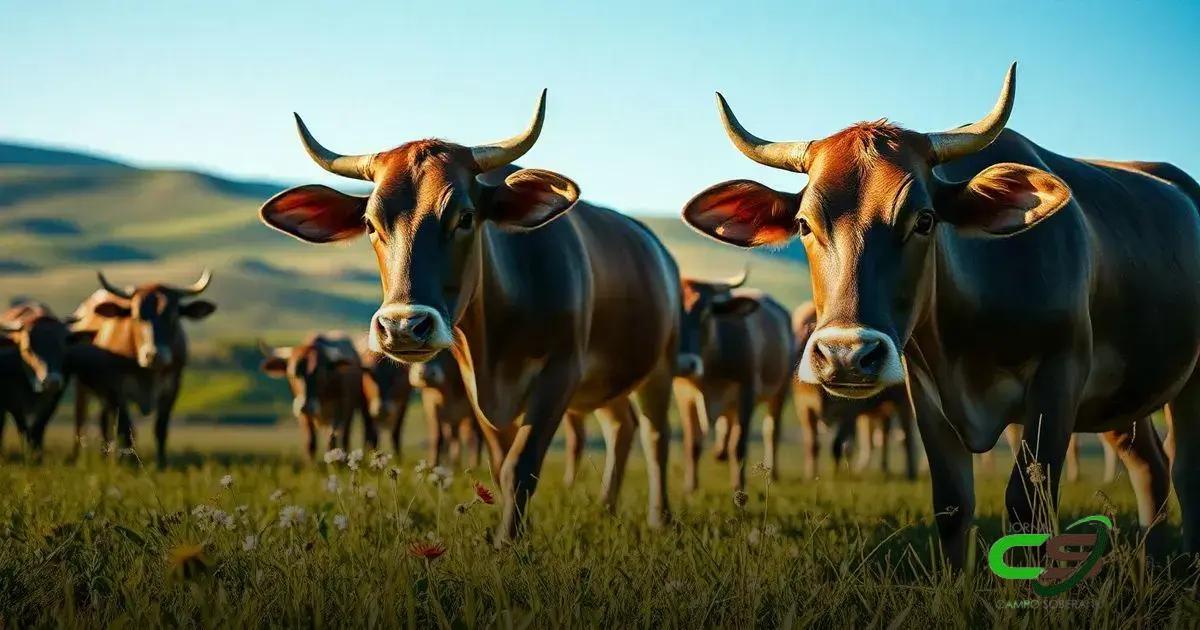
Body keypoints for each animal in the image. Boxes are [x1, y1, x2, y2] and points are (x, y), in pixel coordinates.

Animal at [71, 272, 216, 466]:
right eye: (137, 316)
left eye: (173, 317)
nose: (154, 355)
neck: (149, 375)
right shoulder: (118, 389)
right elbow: (126, 430)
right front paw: (131, 465)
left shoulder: (172, 387)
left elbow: (161, 428)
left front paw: (161, 465)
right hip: (82, 387)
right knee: (80, 423)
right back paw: (78, 459)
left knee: (103, 422)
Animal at [259, 91, 683, 543]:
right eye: (370, 224)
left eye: (464, 217)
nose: (403, 327)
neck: (499, 334)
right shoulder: (476, 388)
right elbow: (500, 466)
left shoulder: (560, 372)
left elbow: (521, 466)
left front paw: (507, 543)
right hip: (608, 382)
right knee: (622, 428)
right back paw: (606, 508)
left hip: (659, 366)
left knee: (655, 437)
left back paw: (659, 517)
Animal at [672, 269, 794, 490]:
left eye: (705, 313)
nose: (685, 363)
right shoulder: (684, 396)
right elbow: (692, 442)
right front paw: (690, 486)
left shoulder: (747, 391)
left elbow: (738, 444)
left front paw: (739, 486)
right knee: (726, 424)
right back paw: (719, 452)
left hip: (780, 391)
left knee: (771, 430)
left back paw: (773, 473)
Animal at [792, 302, 918, 480]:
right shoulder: (804, 408)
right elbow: (812, 445)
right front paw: (810, 475)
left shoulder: (849, 411)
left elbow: (838, 445)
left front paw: (836, 475)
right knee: (885, 434)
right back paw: (884, 469)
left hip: (902, 401)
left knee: (907, 436)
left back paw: (910, 473)